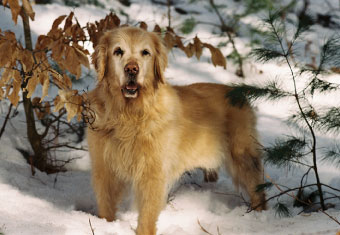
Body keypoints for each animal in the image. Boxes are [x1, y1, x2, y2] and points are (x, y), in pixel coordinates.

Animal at [86, 26, 266, 235]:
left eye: (145, 52)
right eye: (118, 51)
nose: (132, 69)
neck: (129, 114)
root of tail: (239, 93)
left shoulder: (153, 172)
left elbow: (147, 212)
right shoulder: (104, 168)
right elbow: (106, 204)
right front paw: (104, 225)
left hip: (243, 156)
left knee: (257, 188)